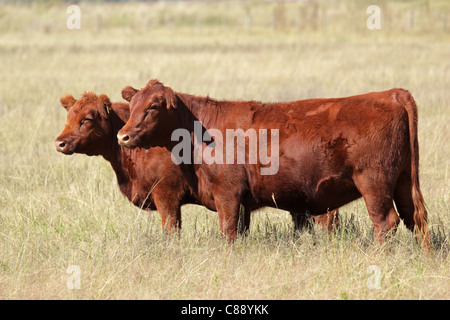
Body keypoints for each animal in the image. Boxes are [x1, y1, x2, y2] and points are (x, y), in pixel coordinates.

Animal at [118, 80, 430, 248]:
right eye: (131, 107)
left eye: (153, 107)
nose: (123, 136)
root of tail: (391, 93)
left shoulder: (227, 193)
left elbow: (228, 231)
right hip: (403, 181)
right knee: (416, 219)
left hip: (374, 183)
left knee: (385, 222)